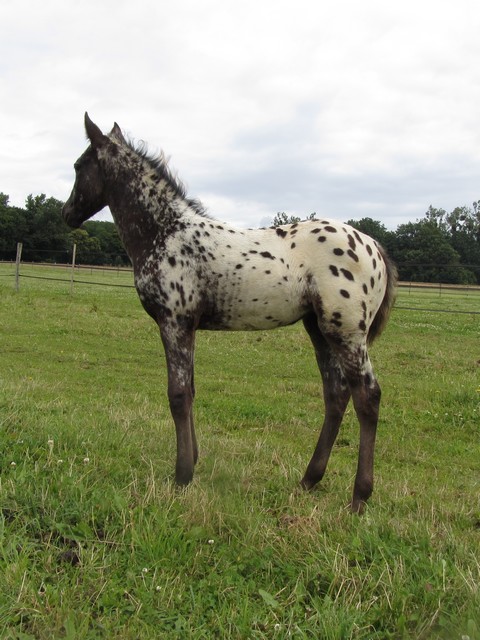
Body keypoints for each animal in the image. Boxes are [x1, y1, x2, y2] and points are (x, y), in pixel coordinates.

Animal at [63, 113, 397, 513]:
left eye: (79, 166)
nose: (66, 213)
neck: (165, 233)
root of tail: (374, 245)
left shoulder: (174, 321)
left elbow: (177, 395)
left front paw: (181, 477)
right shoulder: (188, 326)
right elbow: (190, 391)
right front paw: (193, 462)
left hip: (346, 331)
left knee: (368, 396)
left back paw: (359, 498)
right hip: (319, 330)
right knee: (336, 394)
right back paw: (308, 480)